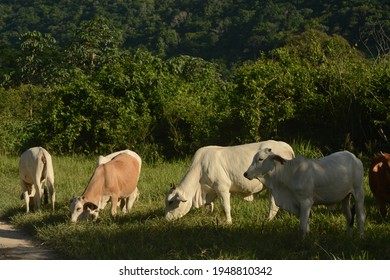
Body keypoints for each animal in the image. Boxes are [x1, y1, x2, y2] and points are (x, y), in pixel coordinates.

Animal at [163, 141, 294, 224]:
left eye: (171, 202)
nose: (166, 219)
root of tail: (285, 146)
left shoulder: (222, 188)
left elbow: (226, 207)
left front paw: (228, 222)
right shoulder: (210, 191)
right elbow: (209, 206)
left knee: (274, 205)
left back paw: (268, 220)